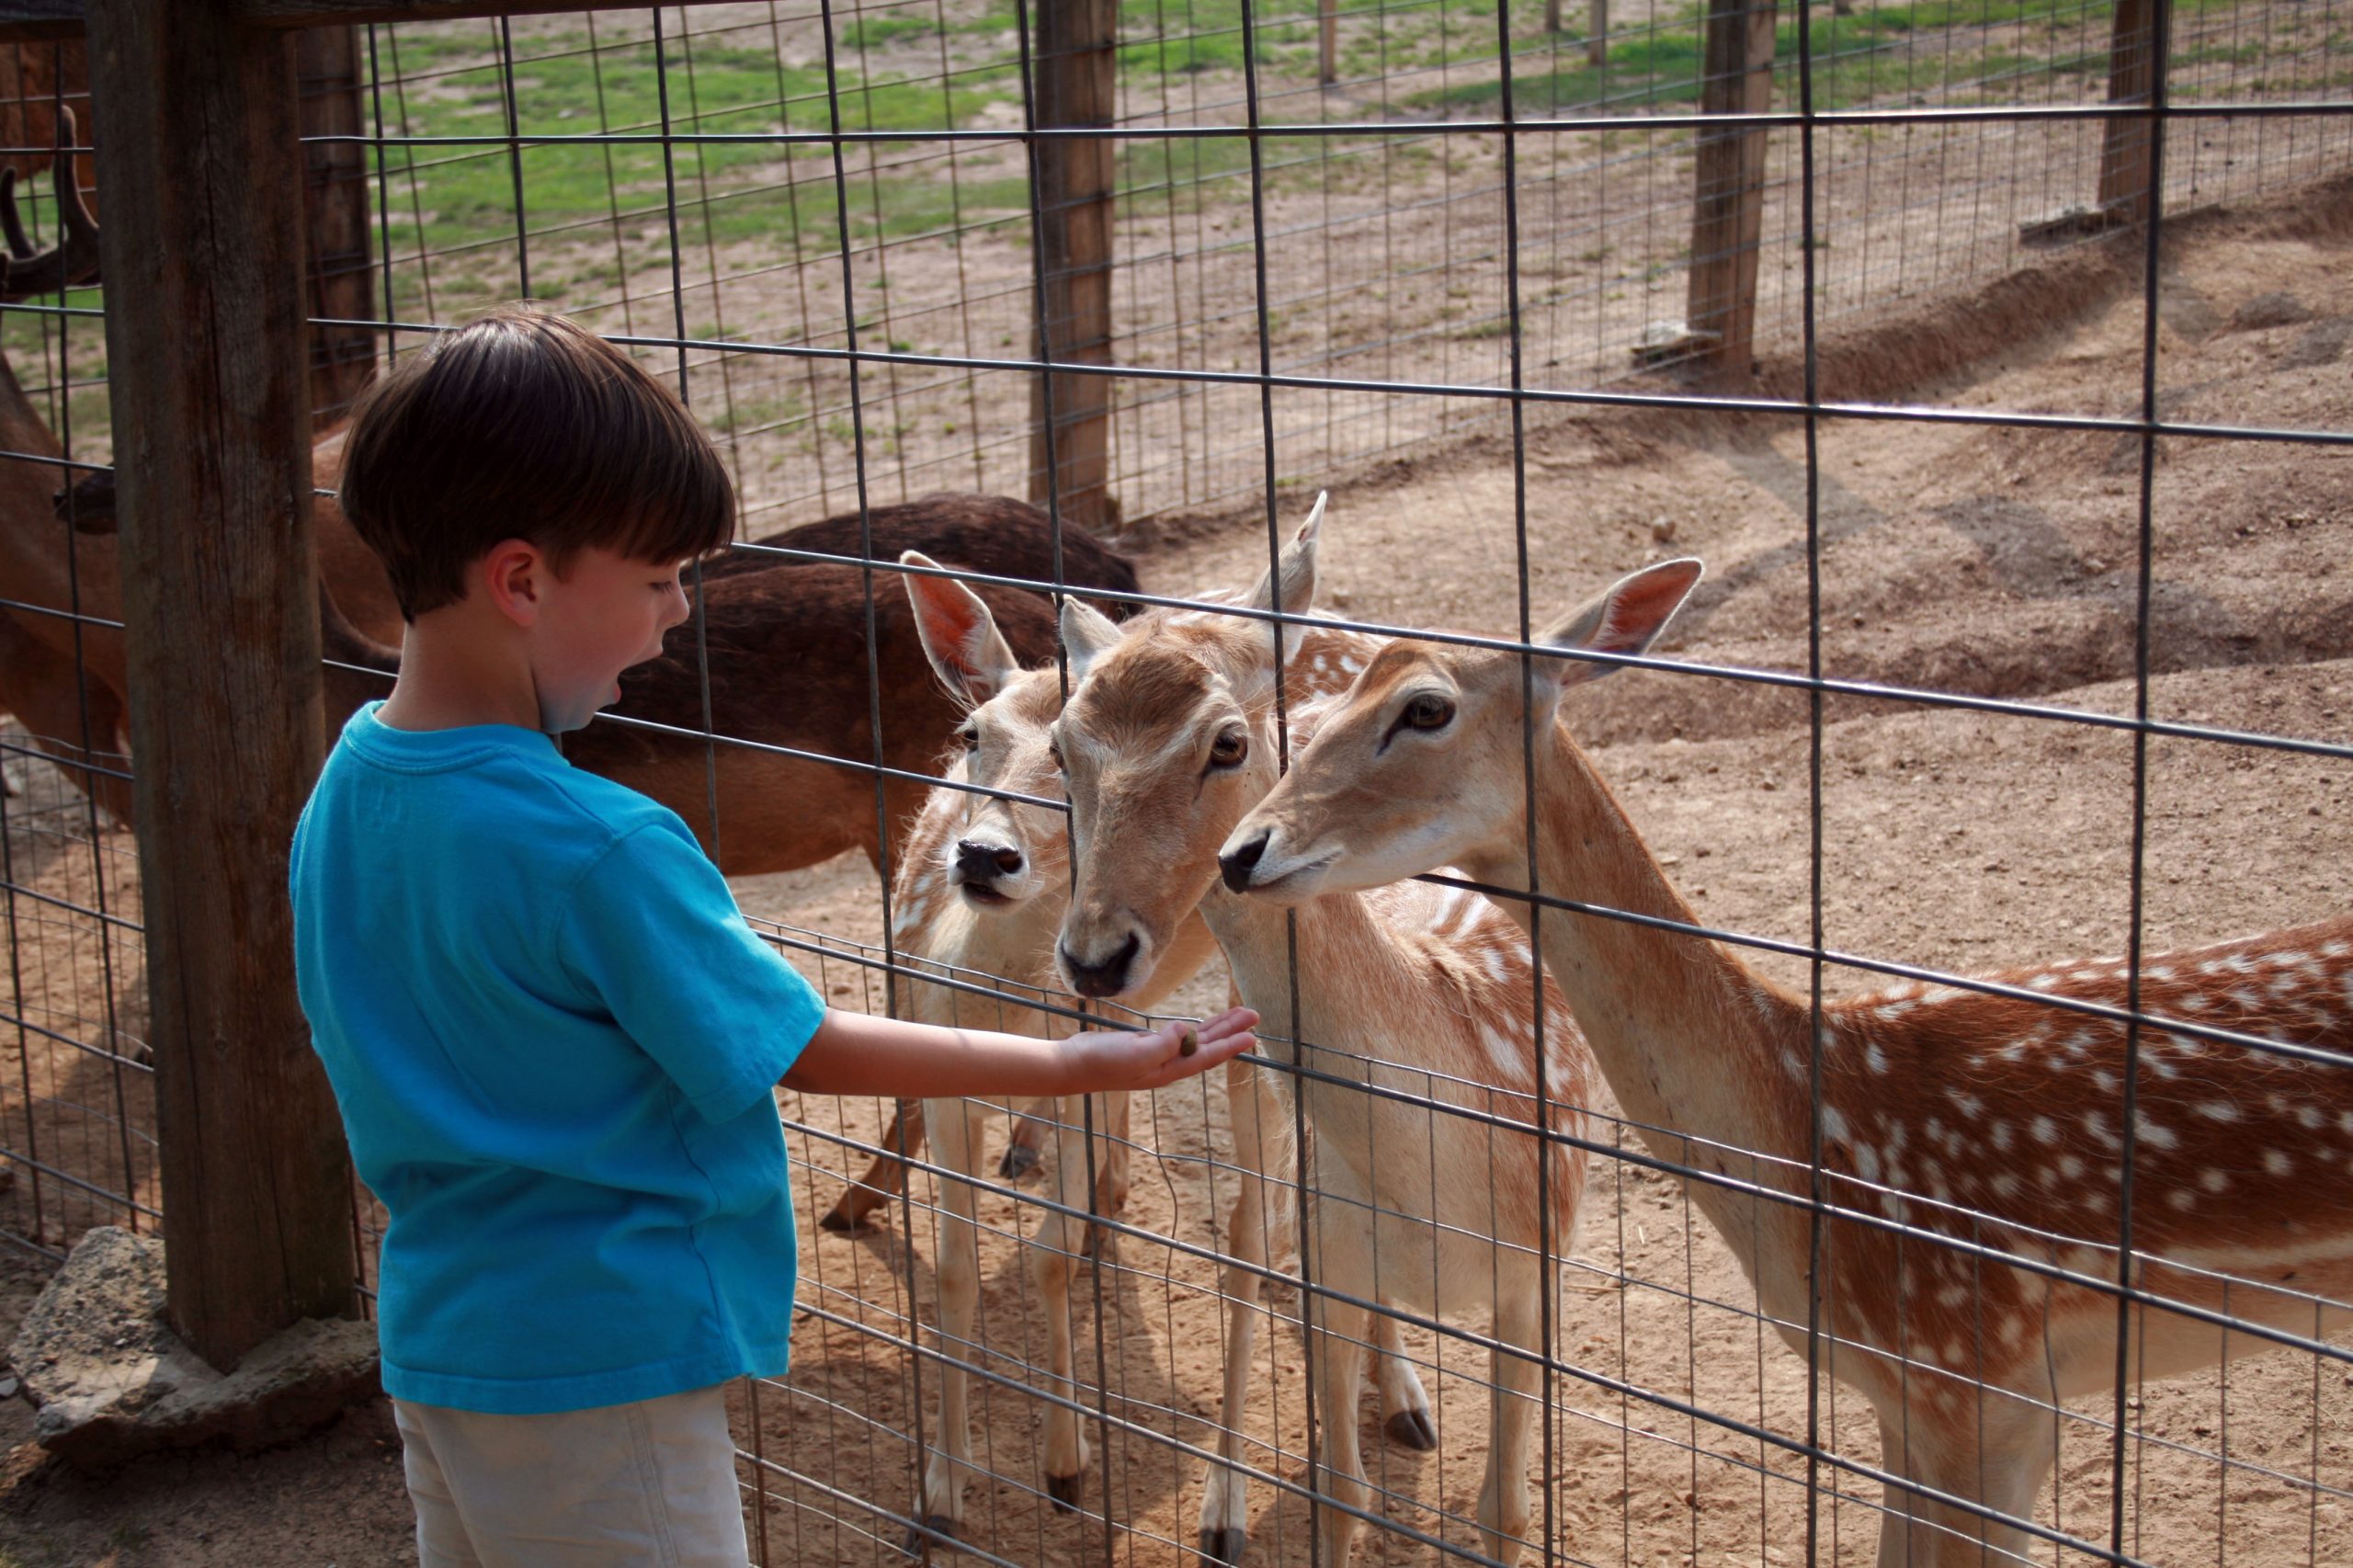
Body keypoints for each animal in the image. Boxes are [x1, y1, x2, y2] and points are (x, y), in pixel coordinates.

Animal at [884, 543, 1449, 1544]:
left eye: (1056, 757)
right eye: (969, 734)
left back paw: (1389, 1410)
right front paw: (939, 1497)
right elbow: (952, 1270)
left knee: (1270, 1211)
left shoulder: (1088, 1068)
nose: (984, 856)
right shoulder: (941, 1069)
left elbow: (1049, 1257)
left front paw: (1066, 1465)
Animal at [1053, 506, 1590, 1553]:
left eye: (1225, 743)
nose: (1093, 955)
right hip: (1249, 1064)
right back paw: (1228, 1503)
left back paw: (1407, 1397)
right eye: (1060, 747)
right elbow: (1337, 1481)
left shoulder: (1535, 1279)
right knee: (1247, 1241)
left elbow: (1507, 1511)